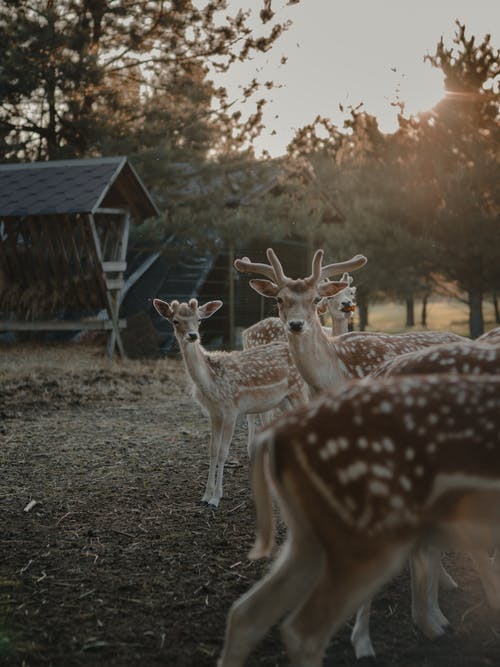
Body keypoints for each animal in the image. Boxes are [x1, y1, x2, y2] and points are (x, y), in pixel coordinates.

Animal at [153, 298, 328, 506]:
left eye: (199, 320)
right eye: (175, 321)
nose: (193, 335)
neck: (210, 380)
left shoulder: (231, 409)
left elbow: (223, 452)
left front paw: (216, 498)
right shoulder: (213, 413)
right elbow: (212, 450)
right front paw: (205, 496)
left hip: (298, 390)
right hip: (283, 399)